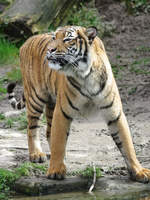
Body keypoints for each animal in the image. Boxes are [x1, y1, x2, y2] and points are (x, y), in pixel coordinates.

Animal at [7, 25, 150, 182]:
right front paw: (56, 170)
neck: (86, 75)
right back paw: (37, 154)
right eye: (53, 38)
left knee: (49, 131)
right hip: (36, 98)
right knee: (31, 128)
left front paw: (139, 171)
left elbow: (127, 144)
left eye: (67, 39)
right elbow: (59, 141)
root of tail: (27, 41)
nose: (50, 50)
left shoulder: (114, 113)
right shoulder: (62, 111)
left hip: (51, 103)